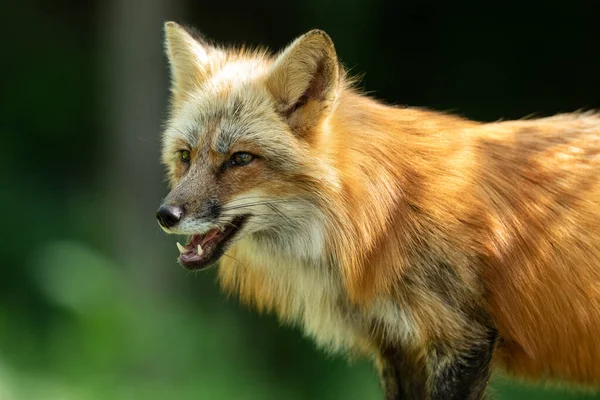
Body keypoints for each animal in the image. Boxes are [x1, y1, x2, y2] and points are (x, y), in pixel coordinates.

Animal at [156, 22, 600, 400]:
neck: (384, 213)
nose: (166, 215)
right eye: (185, 156)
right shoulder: (397, 344)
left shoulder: (461, 340)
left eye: (240, 159)